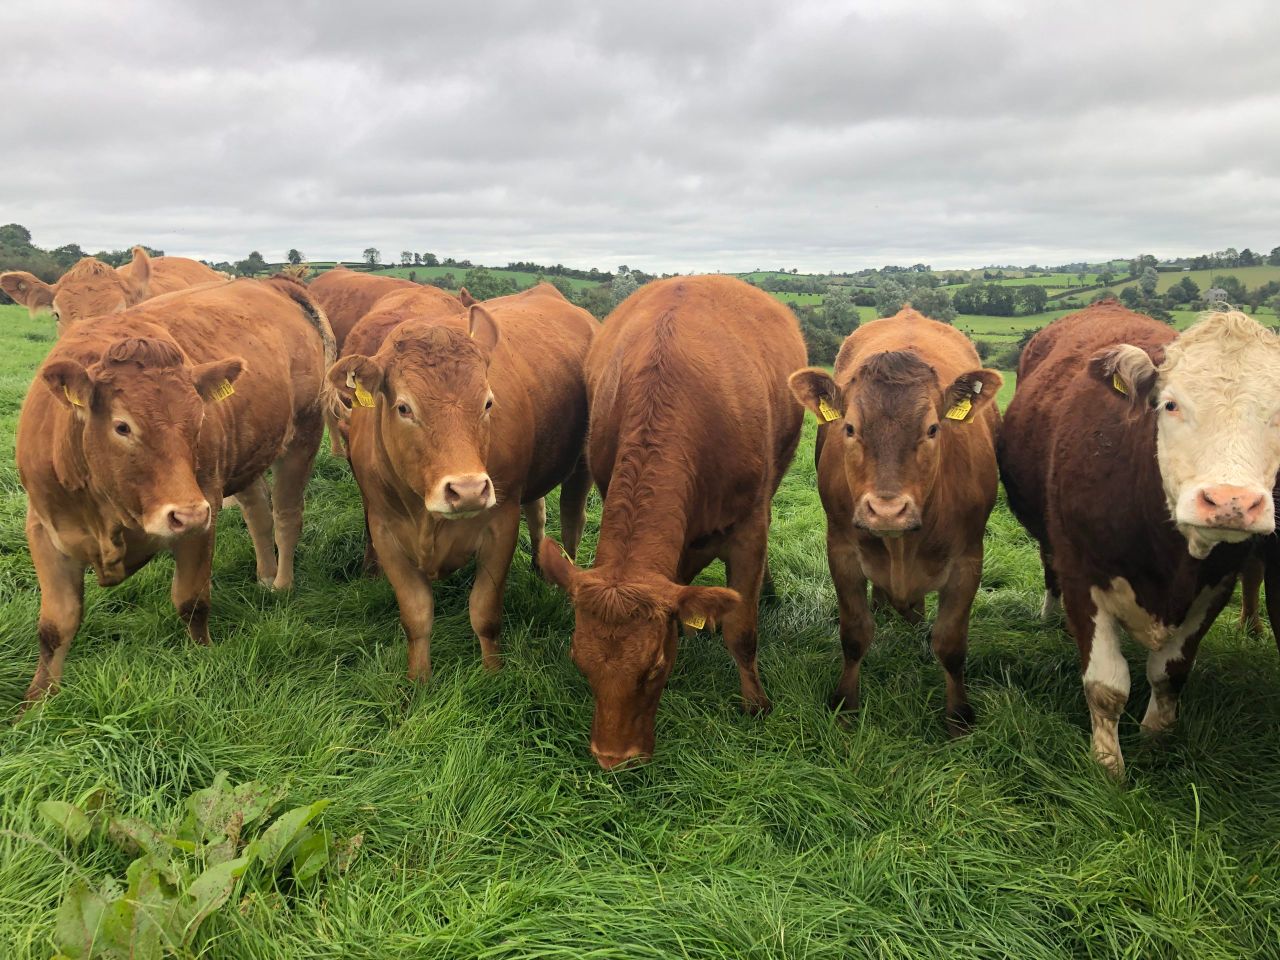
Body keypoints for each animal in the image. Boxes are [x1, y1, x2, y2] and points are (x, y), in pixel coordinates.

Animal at [16, 277, 336, 707]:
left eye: (198, 417)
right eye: (122, 426)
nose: (187, 513)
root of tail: (274, 283)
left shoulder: (202, 515)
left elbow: (192, 601)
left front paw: (203, 659)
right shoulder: (44, 529)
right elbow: (55, 626)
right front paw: (37, 701)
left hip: (303, 434)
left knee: (287, 514)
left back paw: (282, 584)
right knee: (257, 512)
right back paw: (265, 575)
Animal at [327, 282, 595, 683]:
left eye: (488, 402)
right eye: (404, 407)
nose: (468, 491)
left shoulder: (501, 525)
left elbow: (484, 612)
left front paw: (493, 674)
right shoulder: (384, 531)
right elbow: (416, 616)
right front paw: (418, 681)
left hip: (581, 466)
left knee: (572, 523)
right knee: (538, 512)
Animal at [538, 275, 805, 769]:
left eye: (655, 667)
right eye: (579, 661)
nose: (612, 758)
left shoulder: (749, 526)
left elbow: (742, 629)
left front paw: (756, 704)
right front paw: (685, 622)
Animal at [788, 307, 1002, 736]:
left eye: (933, 428)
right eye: (849, 427)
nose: (887, 511)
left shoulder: (969, 560)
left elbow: (951, 644)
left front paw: (959, 718)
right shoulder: (841, 550)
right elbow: (855, 633)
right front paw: (845, 705)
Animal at [999, 303, 1280, 777]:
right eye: (1170, 405)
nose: (1231, 501)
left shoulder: (1214, 587)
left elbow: (1170, 672)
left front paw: (1154, 739)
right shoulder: (1083, 575)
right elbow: (1106, 685)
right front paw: (1107, 766)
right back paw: (1050, 614)